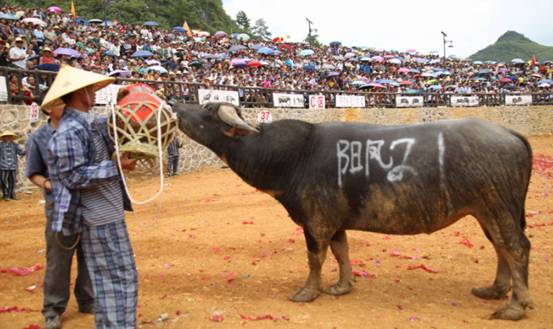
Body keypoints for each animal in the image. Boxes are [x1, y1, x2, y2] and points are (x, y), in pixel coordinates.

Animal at [175, 102, 532, 318]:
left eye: (207, 110)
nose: (177, 105)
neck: (295, 155)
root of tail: (510, 134)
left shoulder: (316, 222)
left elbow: (316, 258)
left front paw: (307, 292)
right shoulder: (335, 222)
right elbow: (341, 252)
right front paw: (342, 286)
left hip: (498, 207)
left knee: (516, 247)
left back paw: (516, 305)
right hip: (487, 211)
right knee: (501, 247)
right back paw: (495, 290)